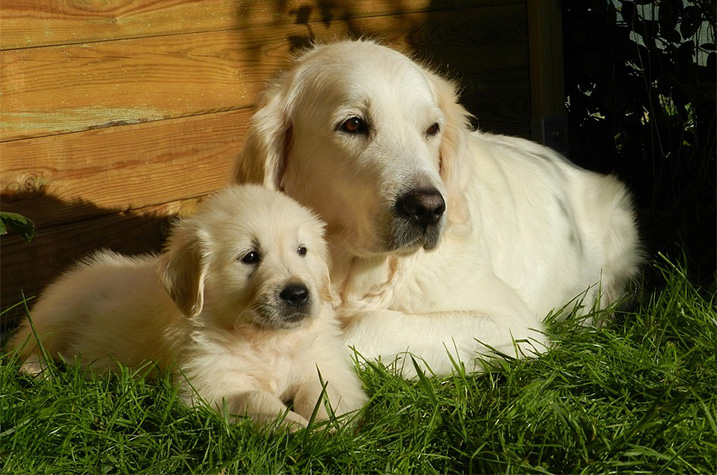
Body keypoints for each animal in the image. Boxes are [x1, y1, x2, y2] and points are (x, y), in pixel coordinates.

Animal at [9, 185, 370, 432]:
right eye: (250, 256)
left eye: (302, 251)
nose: (297, 293)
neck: (264, 340)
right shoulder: (207, 387)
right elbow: (257, 399)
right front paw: (298, 428)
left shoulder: (326, 365)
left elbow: (322, 390)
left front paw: (326, 427)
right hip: (56, 313)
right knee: (22, 348)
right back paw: (37, 370)